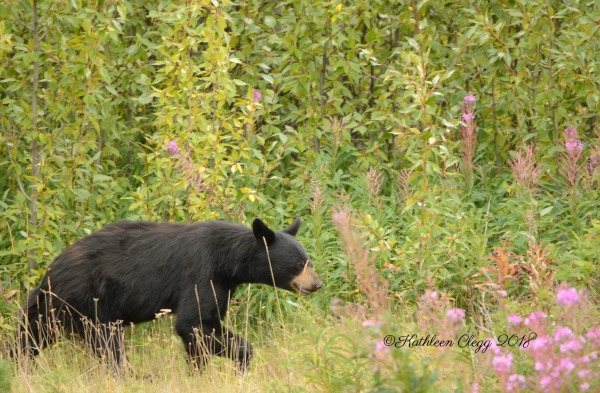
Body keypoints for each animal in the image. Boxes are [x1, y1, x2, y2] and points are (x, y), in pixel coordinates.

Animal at [12, 217, 324, 370]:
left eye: (308, 260)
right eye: (299, 264)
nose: (317, 284)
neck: (228, 261)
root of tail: (50, 273)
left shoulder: (221, 284)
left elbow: (203, 326)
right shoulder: (202, 274)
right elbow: (194, 323)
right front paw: (227, 362)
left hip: (53, 309)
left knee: (30, 334)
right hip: (89, 303)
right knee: (108, 346)